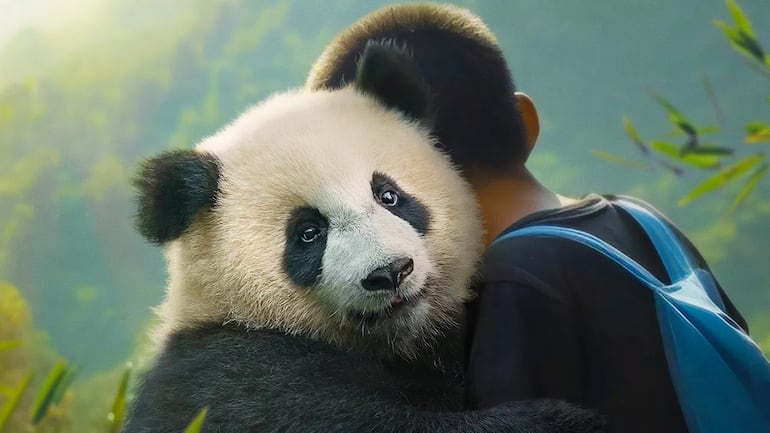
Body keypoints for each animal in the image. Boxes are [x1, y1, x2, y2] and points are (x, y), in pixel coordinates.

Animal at [121, 42, 603, 433]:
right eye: (308, 233)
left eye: (388, 195)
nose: (390, 273)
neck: (400, 342)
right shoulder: (230, 372)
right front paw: (556, 420)